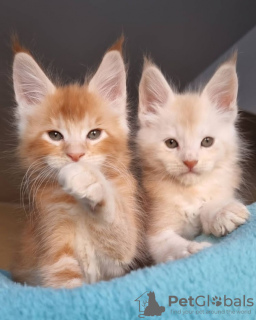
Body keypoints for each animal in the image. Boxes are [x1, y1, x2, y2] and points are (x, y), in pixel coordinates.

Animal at [11, 39, 146, 288]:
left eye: (94, 134)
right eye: (55, 135)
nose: (75, 156)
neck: (79, 204)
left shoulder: (119, 256)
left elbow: (116, 225)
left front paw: (89, 180)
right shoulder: (55, 254)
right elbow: (68, 288)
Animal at [137, 55, 249, 264]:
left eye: (207, 141)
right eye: (171, 143)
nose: (190, 162)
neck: (190, 191)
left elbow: (209, 203)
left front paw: (222, 211)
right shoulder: (155, 234)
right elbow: (172, 246)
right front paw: (193, 250)